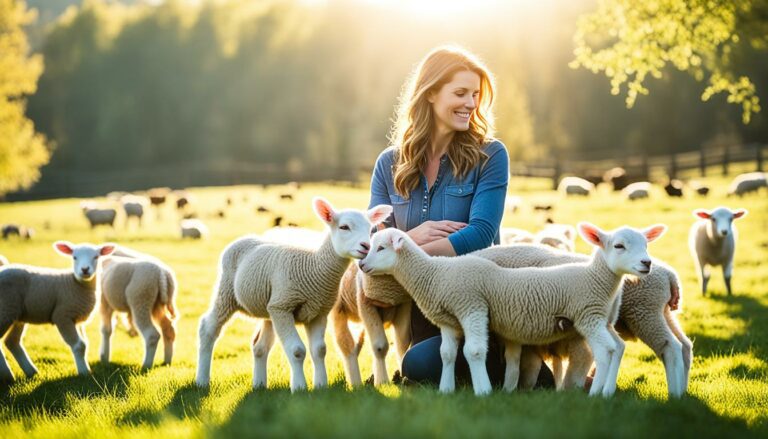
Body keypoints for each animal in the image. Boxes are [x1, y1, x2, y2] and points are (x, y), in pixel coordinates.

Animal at [0, 241, 115, 382]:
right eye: (74, 257)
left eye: (96, 257)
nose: (85, 269)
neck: (75, 284)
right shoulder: (62, 316)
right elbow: (79, 345)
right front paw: (84, 372)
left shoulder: (76, 319)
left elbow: (85, 343)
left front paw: (85, 369)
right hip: (5, 309)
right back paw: (7, 376)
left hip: (16, 315)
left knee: (12, 342)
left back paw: (30, 372)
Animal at [195, 199, 392, 392]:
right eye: (344, 227)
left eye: (370, 229)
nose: (366, 247)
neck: (314, 266)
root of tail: (244, 238)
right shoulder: (284, 307)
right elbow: (297, 350)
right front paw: (299, 387)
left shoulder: (317, 312)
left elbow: (319, 350)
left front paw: (321, 386)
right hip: (228, 293)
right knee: (208, 327)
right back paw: (202, 380)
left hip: (270, 307)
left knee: (260, 346)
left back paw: (259, 384)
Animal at [356, 223, 664, 398]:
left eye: (381, 248)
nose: (362, 265)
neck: (434, 273)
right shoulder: (449, 321)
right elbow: (447, 354)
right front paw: (446, 389)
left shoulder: (473, 306)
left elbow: (473, 351)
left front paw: (483, 391)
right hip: (602, 319)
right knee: (617, 347)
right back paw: (605, 390)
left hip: (588, 317)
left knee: (603, 351)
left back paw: (598, 393)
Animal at [476, 244, 692, 398]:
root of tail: (669, 274)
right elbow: (527, 372)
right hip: (660, 313)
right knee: (684, 346)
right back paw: (682, 391)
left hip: (644, 313)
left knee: (670, 347)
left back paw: (674, 393)